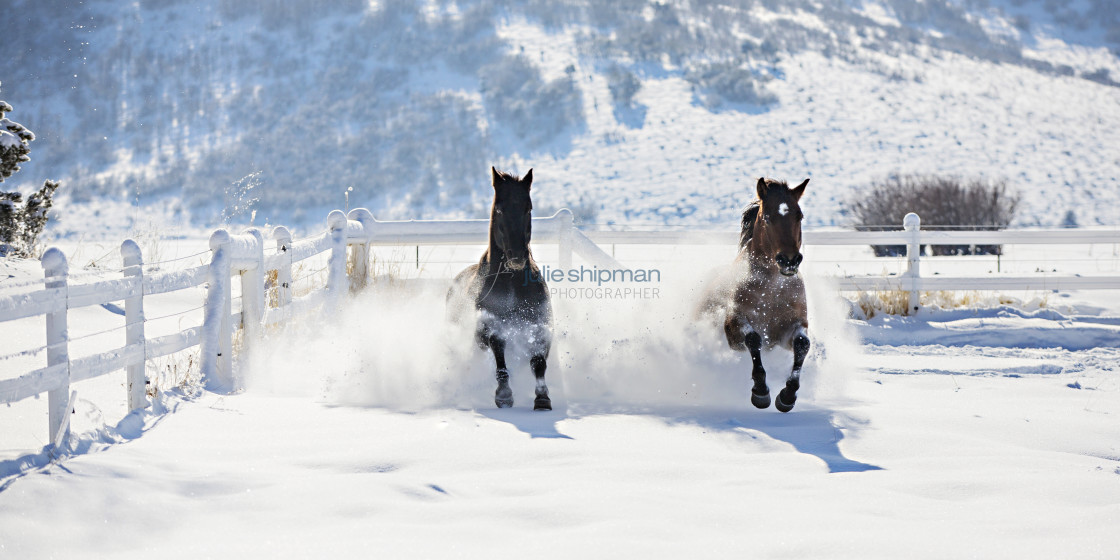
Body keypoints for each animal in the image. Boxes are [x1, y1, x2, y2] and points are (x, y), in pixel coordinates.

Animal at [443, 168, 553, 409]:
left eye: (528, 208)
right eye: (500, 209)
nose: (517, 257)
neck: (512, 284)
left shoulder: (539, 324)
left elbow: (538, 362)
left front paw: (542, 398)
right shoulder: (489, 328)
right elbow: (500, 359)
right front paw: (504, 395)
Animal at [703, 176, 810, 414]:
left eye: (799, 216)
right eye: (768, 217)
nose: (789, 261)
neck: (772, 290)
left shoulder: (790, 329)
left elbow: (802, 344)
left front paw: (787, 396)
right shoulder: (734, 329)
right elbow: (753, 339)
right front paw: (761, 393)